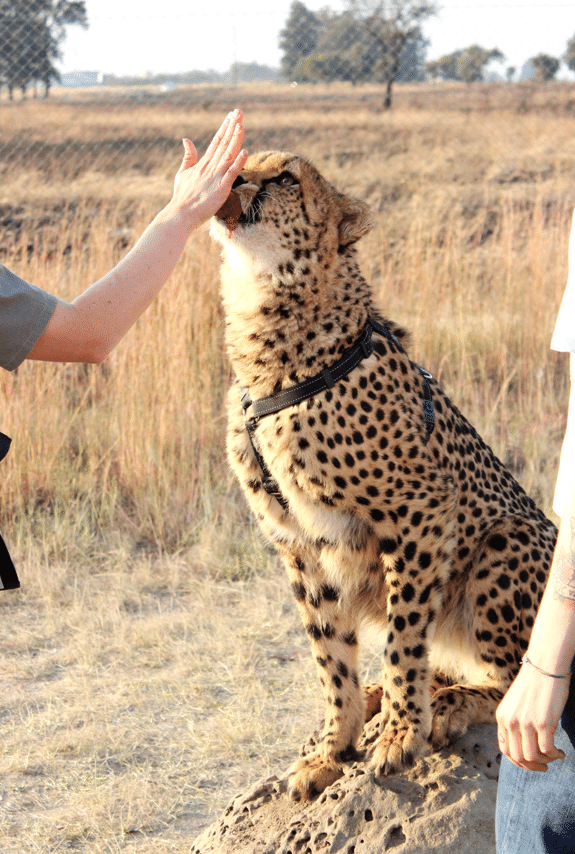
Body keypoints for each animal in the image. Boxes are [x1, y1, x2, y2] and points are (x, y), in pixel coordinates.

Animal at [210, 152, 560, 804]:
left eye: (285, 177)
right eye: (247, 163)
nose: (235, 178)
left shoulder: (421, 511)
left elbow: (404, 637)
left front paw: (400, 733)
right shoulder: (298, 545)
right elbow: (329, 656)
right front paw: (334, 746)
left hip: (509, 538)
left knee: (512, 686)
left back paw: (447, 704)